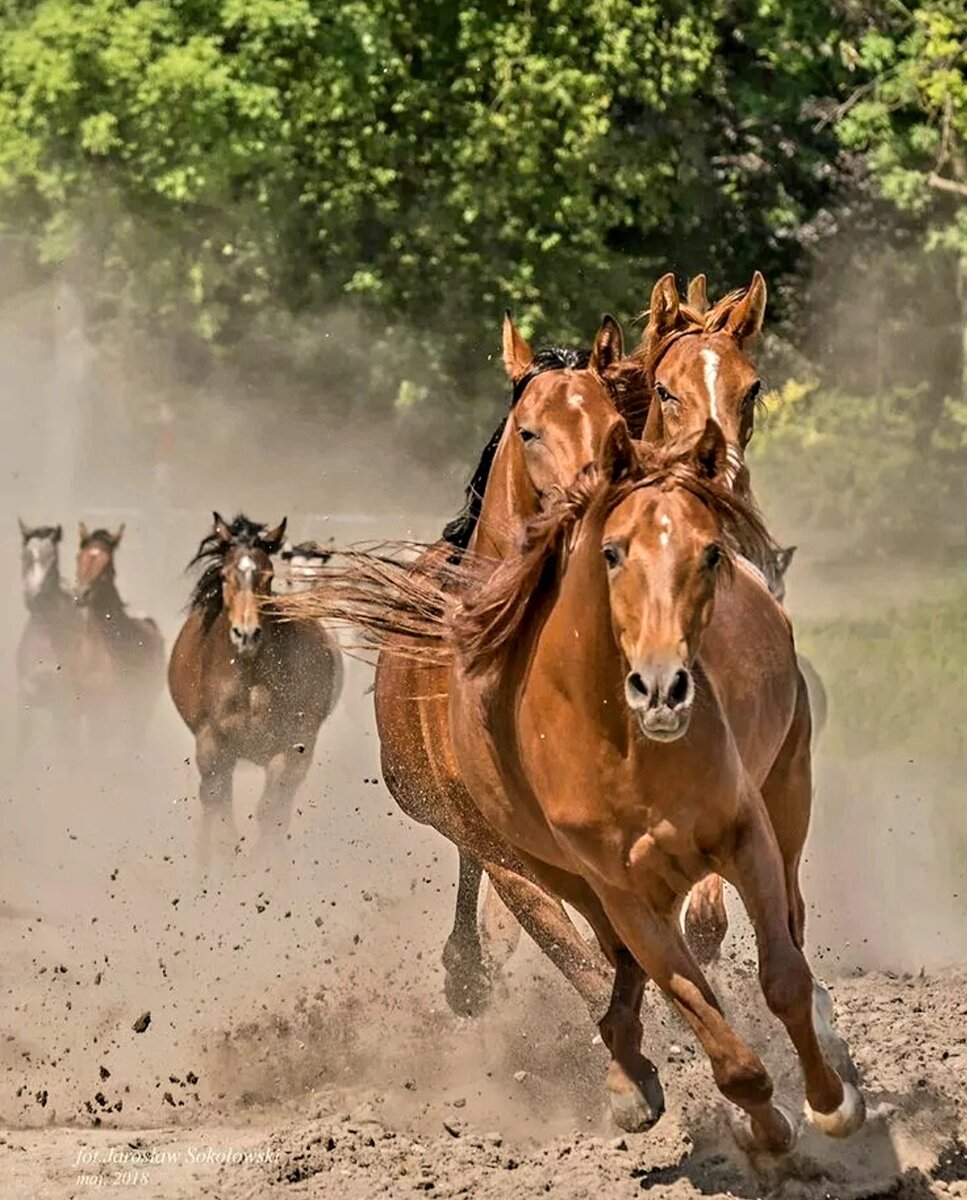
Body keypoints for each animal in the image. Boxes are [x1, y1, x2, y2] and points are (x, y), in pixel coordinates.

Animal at [167, 511, 343, 868]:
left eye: (268, 575)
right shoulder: (212, 746)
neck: (250, 680)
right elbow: (220, 812)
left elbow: (271, 814)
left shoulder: (291, 747)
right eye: (225, 574)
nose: (246, 633)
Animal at [443, 424, 868, 1152]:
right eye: (612, 552)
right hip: (551, 871)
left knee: (791, 914)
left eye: (710, 552)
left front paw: (829, 1105)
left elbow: (782, 977)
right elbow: (700, 1016)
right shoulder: (621, 892)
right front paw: (763, 1127)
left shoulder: (745, 838)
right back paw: (627, 1075)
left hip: (789, 790)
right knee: (612, 958)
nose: (663, 688)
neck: (628, 754)